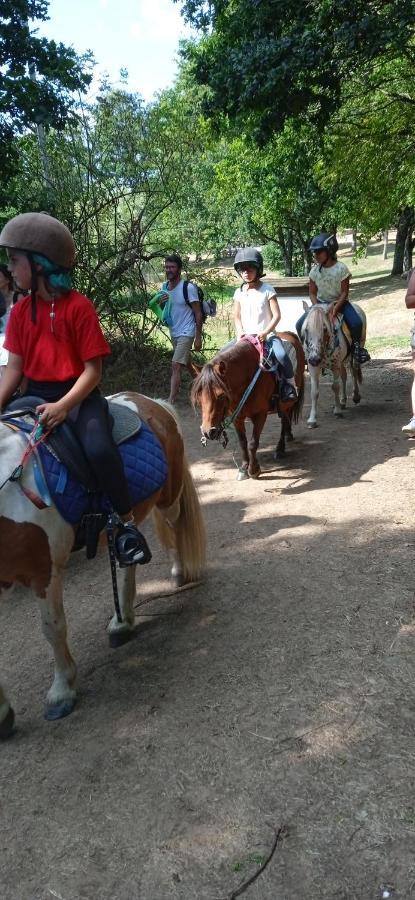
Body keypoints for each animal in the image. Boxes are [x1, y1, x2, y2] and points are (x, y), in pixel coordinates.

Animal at [0, 394, 207, 740]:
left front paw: (61, 692)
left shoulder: (45, 570)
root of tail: (153, 402)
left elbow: (53, 628)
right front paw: (3, 713)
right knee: (127, 563)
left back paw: (178, 574)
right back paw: (122, 622)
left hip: (168, 497)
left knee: (173, 524)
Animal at [192, 336, 306, 478]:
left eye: (221, 395)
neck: (247, 376)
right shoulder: (236, 416)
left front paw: (253, 469)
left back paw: (280, 449)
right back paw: (288, 436)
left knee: (284, 421)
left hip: (286, 403)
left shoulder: (260, 414)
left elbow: (253, 443)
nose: (208, 432)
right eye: (199, 397)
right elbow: (242, 442)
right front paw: (244, 467)